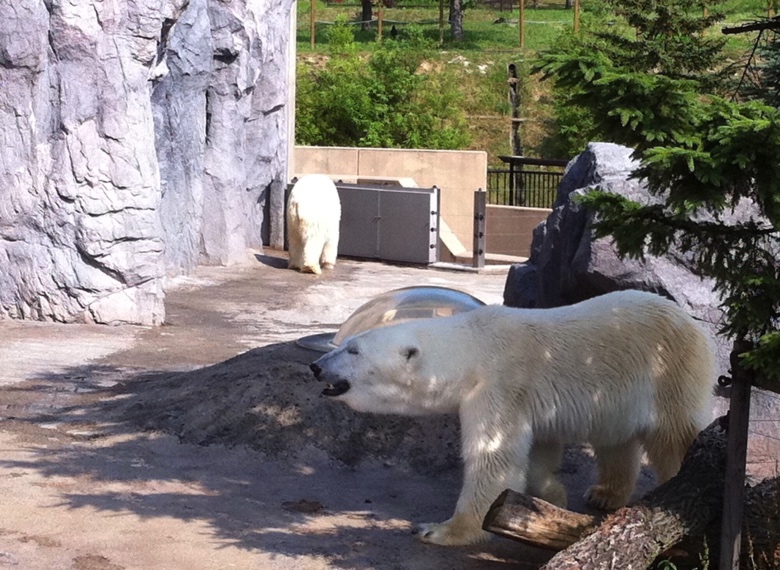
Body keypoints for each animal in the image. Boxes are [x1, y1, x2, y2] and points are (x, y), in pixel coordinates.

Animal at [310, 290, 712, 544]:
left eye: (353, 349)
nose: (316, 366)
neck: (472, 349)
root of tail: (692, 324)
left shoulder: (499, 386)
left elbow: (494, 458)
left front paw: (440, 530)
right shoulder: (526, 401)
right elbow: (537, 451)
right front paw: (553, 495)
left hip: (668, 371)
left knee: (674, 437)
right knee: (616, 440)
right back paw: (604, 493)